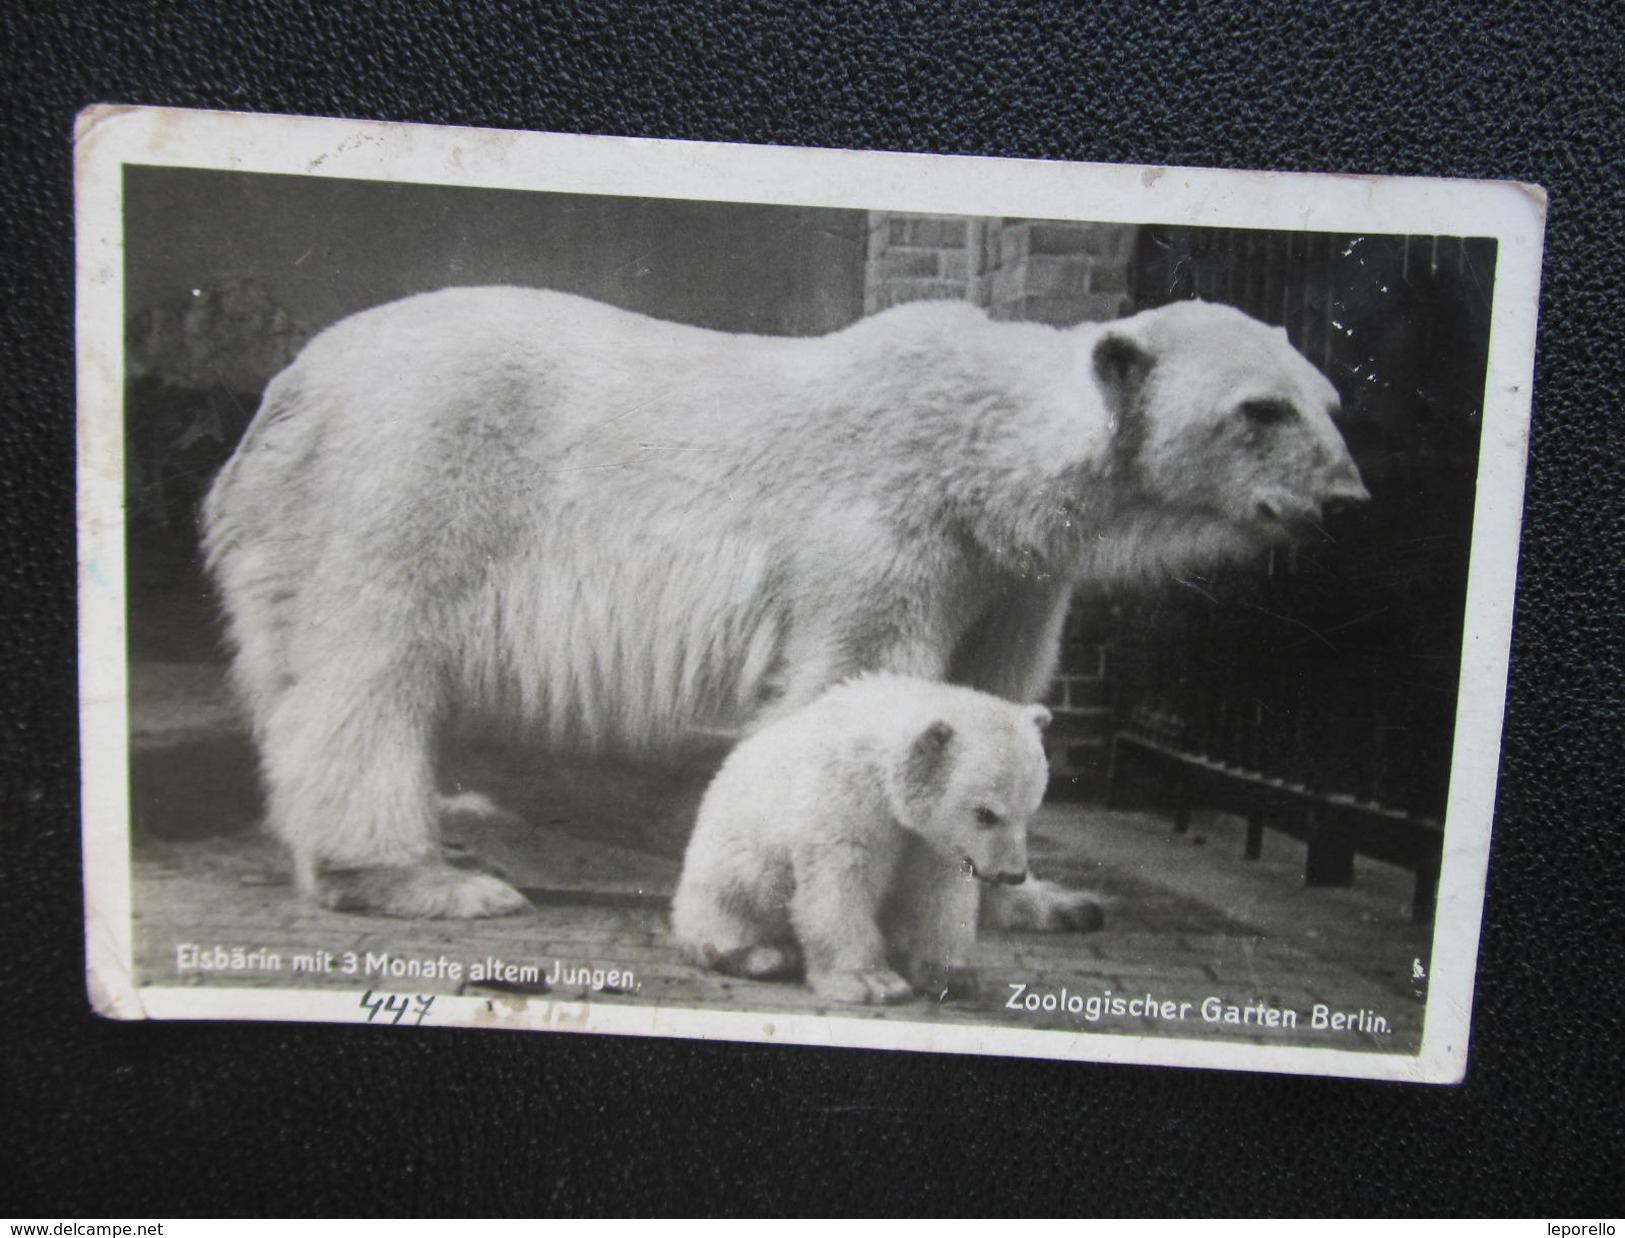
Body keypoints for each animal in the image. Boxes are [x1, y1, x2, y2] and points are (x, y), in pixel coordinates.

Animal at [206, 284, 1371, 909]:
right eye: (1258, 409)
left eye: (1328, 398)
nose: (1348, 500)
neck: (983, 454)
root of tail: (286, 387)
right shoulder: (889, 534)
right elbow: (854, 686)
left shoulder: (1009, 575)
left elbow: (995, 706)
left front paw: (1045, 895)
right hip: (407, 481)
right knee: (366, 670)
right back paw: (415, 873)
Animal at [669, 675, 1053, 1000]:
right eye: (986, 814)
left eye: (1030, 810)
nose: (1012, 874)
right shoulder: (845, 795)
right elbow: (841, 884)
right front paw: (871, 981)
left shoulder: (933, 840)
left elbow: (939, 892)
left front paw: (950, 975)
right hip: (729, 868)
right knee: (731, 908)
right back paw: (764, 956)